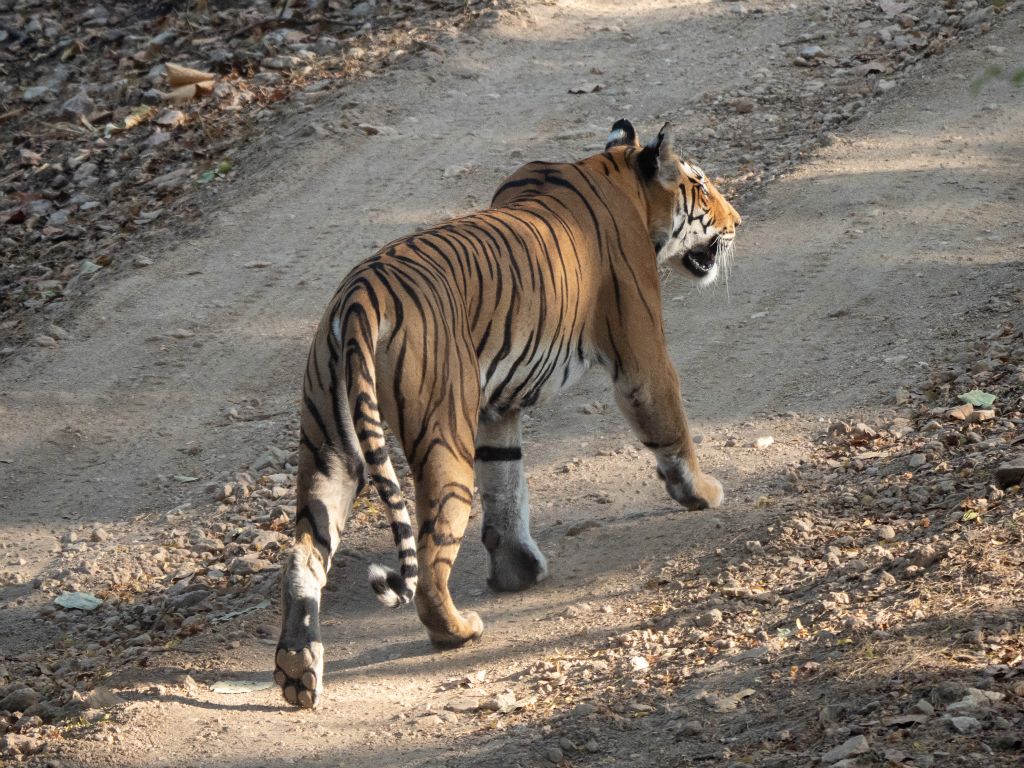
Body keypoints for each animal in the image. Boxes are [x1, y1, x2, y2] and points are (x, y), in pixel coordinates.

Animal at [274, 120, 745, 708]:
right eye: (700, 185)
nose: (738, 222)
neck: (614, 170)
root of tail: (359, 294)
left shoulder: (495, 407)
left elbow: (505, 484)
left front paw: (517, 569)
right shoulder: (642, 353)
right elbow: (672, 426)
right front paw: (702, 493)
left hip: (329, 447)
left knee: (302, 555)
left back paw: (298, 672)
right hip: (442, 441)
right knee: (429, 562)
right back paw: (459, 630)